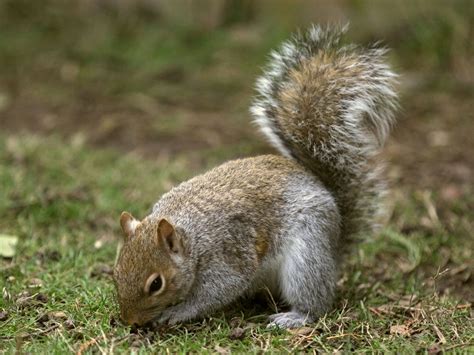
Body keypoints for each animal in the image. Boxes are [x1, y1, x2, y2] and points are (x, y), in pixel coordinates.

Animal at [113, 25, 398, 330]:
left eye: (156, 284)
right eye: (116, 271)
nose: (130, 321)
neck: (190, 237)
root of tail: (336, 245)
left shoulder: (226, 254)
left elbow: (220, 289)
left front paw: (176, 313)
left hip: (307, 253)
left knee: (315, 302)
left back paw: (295, 316)